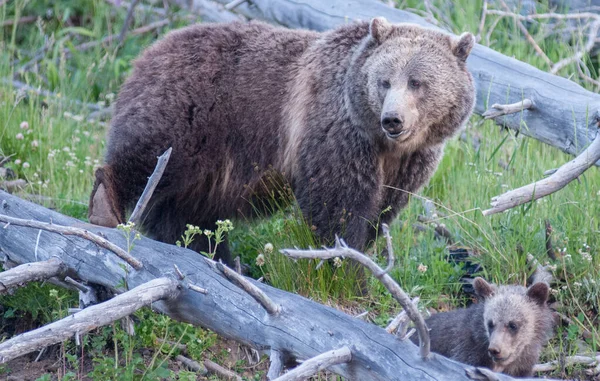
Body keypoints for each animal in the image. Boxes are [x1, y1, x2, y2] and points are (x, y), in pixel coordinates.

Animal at [86, 17, 476, 264]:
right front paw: (343, 260)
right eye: (384, 81)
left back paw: (213, 252)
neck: (385, 145)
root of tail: (150, 49)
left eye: (417, 82)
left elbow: (383, 208)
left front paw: (363, 251)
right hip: (190, 109)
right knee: (151, 156)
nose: (392, 119)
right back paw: (106, 205)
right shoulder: (337, 130)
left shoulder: (410, 161)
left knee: (188, 208)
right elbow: (338, 202)